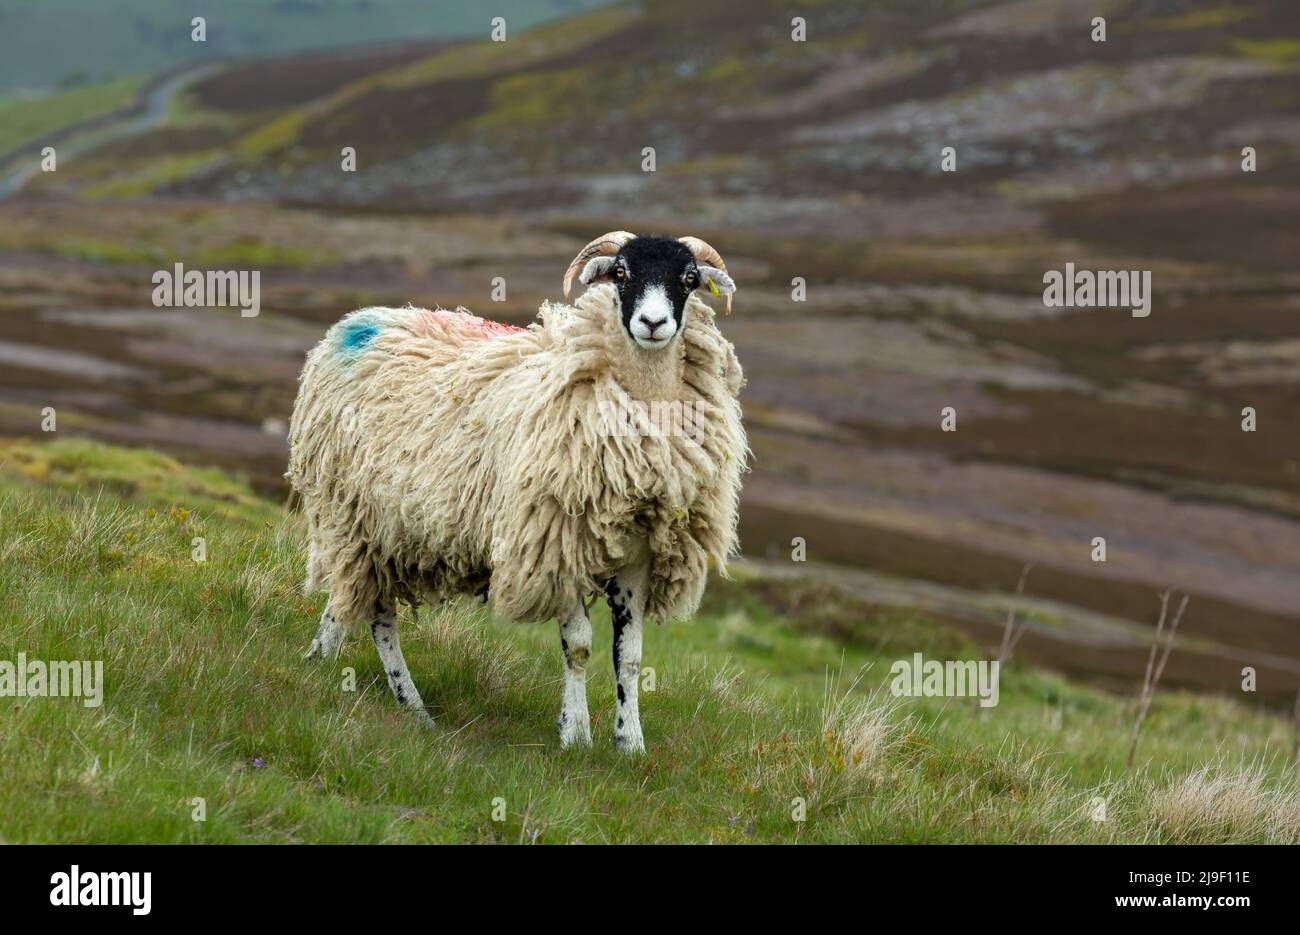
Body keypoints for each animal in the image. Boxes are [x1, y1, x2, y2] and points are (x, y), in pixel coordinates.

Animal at [286, 232, 746, 751]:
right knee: (380, 618)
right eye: (621, 273)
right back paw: (407, 702)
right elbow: (579, 646)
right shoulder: (556, 542)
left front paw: (630, 744)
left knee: (357, 602)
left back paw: (329, 664)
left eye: (688, 279)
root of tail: (355, 322)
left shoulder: (639, 555)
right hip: (353, 514)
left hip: (389, 531)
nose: (652, 323)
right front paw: (575, 734)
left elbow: (629, 657)